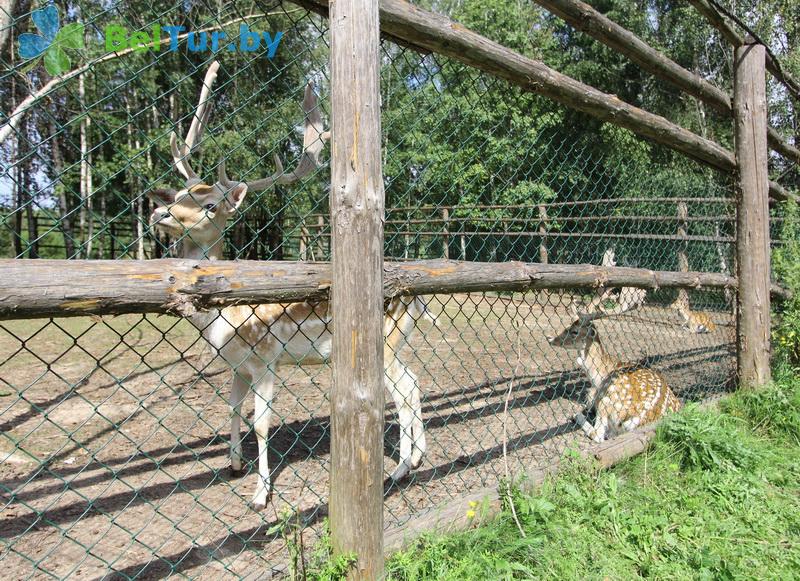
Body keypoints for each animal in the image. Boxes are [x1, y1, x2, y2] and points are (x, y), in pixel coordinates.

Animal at [147, 61, 428, 510]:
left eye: (210, 204)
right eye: (180, 193)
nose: (159, 212)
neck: (223, 320)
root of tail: (416, 299)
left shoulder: (265, 357)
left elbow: (261, 424)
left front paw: (261, 494)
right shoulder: (237, 365)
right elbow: (231, 408)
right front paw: (234, 465)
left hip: (384, 342)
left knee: (402, 393)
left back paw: (400, 468)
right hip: (397, 343)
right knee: (414, 383)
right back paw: (418, 457)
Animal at [552, 290, 680, 444]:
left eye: (574, 331)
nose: (551, 339)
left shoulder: (599, 394)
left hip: (607, 402)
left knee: (598, 435)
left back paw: (576, 415)